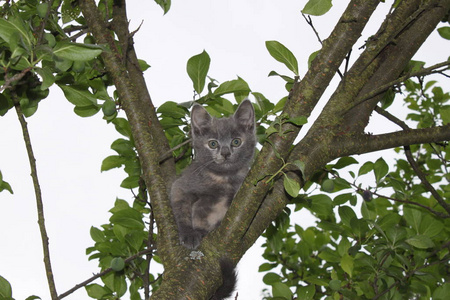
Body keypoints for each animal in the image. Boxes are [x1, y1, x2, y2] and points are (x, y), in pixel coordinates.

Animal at [170, 99, 255, 298]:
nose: (225, 153)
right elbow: (181, 209)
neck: (223, 178)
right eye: (213, 144)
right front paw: (189, 234)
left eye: (236, 141)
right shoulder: (181, 186)